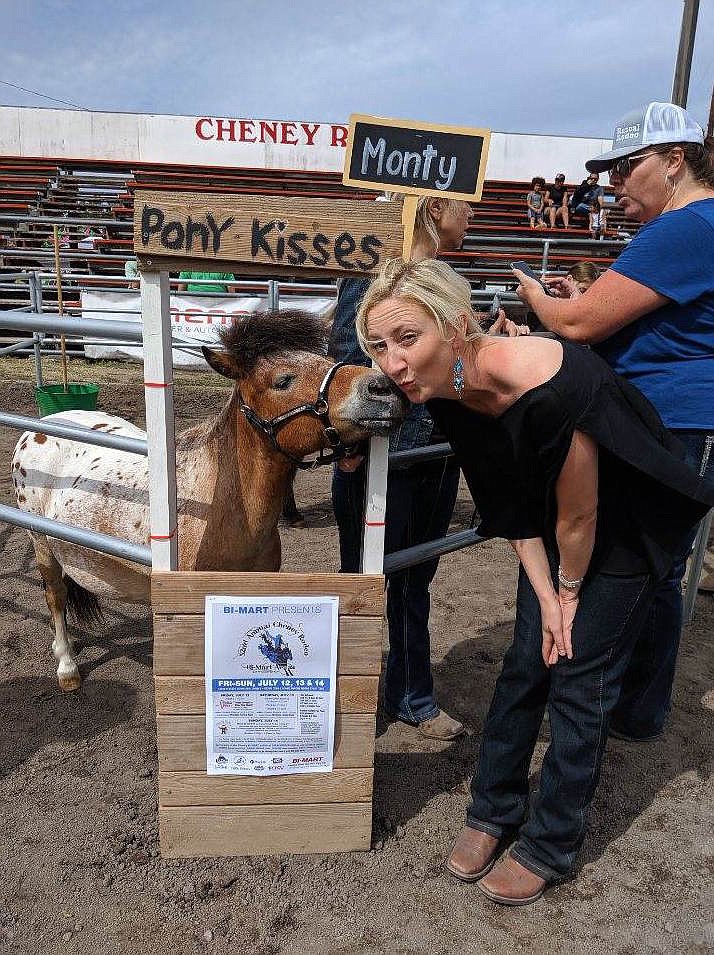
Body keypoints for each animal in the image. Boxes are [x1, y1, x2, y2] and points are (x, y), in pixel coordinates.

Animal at [11, 310, 404, 692]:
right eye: (282, 380)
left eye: (327, 360)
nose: (383, 388)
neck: (226, 513)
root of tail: (40, 429)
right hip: (41, 545)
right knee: (56, 596)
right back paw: (66, 666)